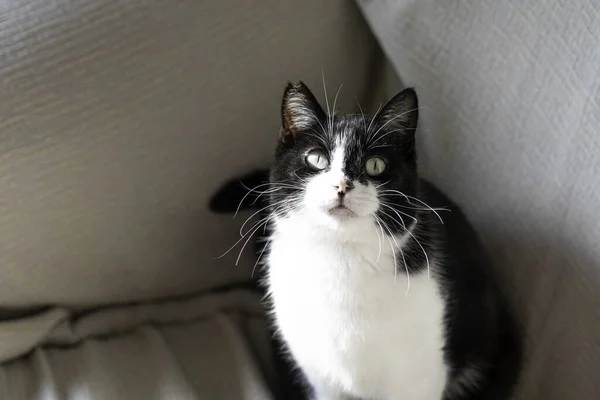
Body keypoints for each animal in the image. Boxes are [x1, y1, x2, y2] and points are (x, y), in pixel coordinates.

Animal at [210, 82, 520, 400]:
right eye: (316, 158)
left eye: (375, 165)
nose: (342, 185)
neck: (341, 259)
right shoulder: (320, 376)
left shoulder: (419, 375)